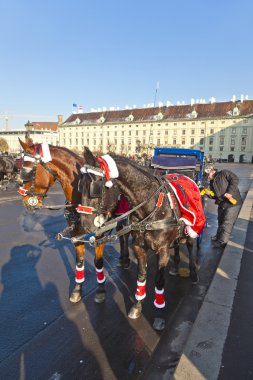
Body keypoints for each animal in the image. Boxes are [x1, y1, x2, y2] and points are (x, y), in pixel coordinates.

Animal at [18, 138, 129, 304]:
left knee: (126, 235)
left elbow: (98, 262)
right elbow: (79, 261)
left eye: (29, 171)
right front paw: (77, 289)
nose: (26, 201)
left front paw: (100, 289)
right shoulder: (76, 234)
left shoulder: (98, 235)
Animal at [77, 148, 206, 330]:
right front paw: (137, 306)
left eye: (94, 188)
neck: (151, 207)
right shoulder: (139, 247)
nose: (85, 226)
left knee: (189, 246)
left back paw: (193, 273)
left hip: (191, 229)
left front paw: (159, 313)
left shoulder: (162, 250)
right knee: (176, 245)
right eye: (80, 186)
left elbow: (159, 281)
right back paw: (175, 265)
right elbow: (141, 275)